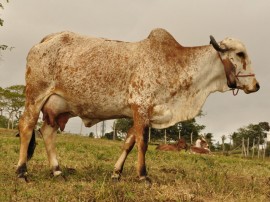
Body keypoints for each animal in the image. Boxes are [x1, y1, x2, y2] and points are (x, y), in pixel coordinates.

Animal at [17, 28, 260, 181]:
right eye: (240, 54)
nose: (256, 85)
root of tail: (47, 39)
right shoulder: (141, 107)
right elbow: (142, 144)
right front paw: (143, 175)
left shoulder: (141, 113)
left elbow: (128, 143)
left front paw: (116, 173)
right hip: (35, 96)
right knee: (27, 127)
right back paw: (22, 172)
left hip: (58, 108)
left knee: (47, 132)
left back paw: (57, 171)